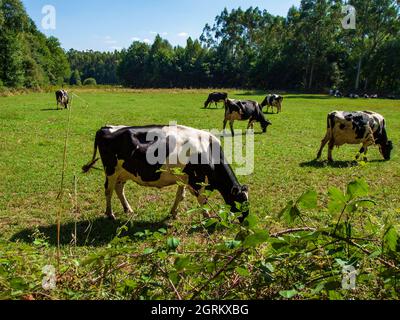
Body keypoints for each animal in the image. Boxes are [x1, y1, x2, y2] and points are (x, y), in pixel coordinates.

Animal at [81, 125, 250, 222]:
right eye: (241, 201)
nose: (246, 220)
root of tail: (105, 128)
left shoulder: (184, 178)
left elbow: (180, 196)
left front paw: (173, 213)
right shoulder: (196, 180)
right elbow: (202, 200)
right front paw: (207, 216)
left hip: (124, 172)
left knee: (119, 189)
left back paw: (127, 209)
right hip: (111, 170)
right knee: (108, 190)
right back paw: (110, 214)